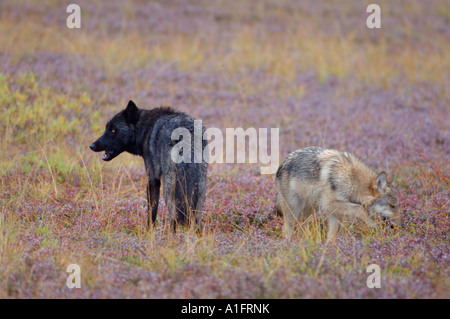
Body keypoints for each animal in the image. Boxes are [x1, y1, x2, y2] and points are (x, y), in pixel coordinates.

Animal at [90, 100, 209, 232]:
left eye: (113, 130)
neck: (146, 128)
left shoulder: (153, 178)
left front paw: (148, 231)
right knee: (196, 221)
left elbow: (152, 211)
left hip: (169, 190)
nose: (92, 146)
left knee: (175, 218)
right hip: (200, 190)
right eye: (107, 128)